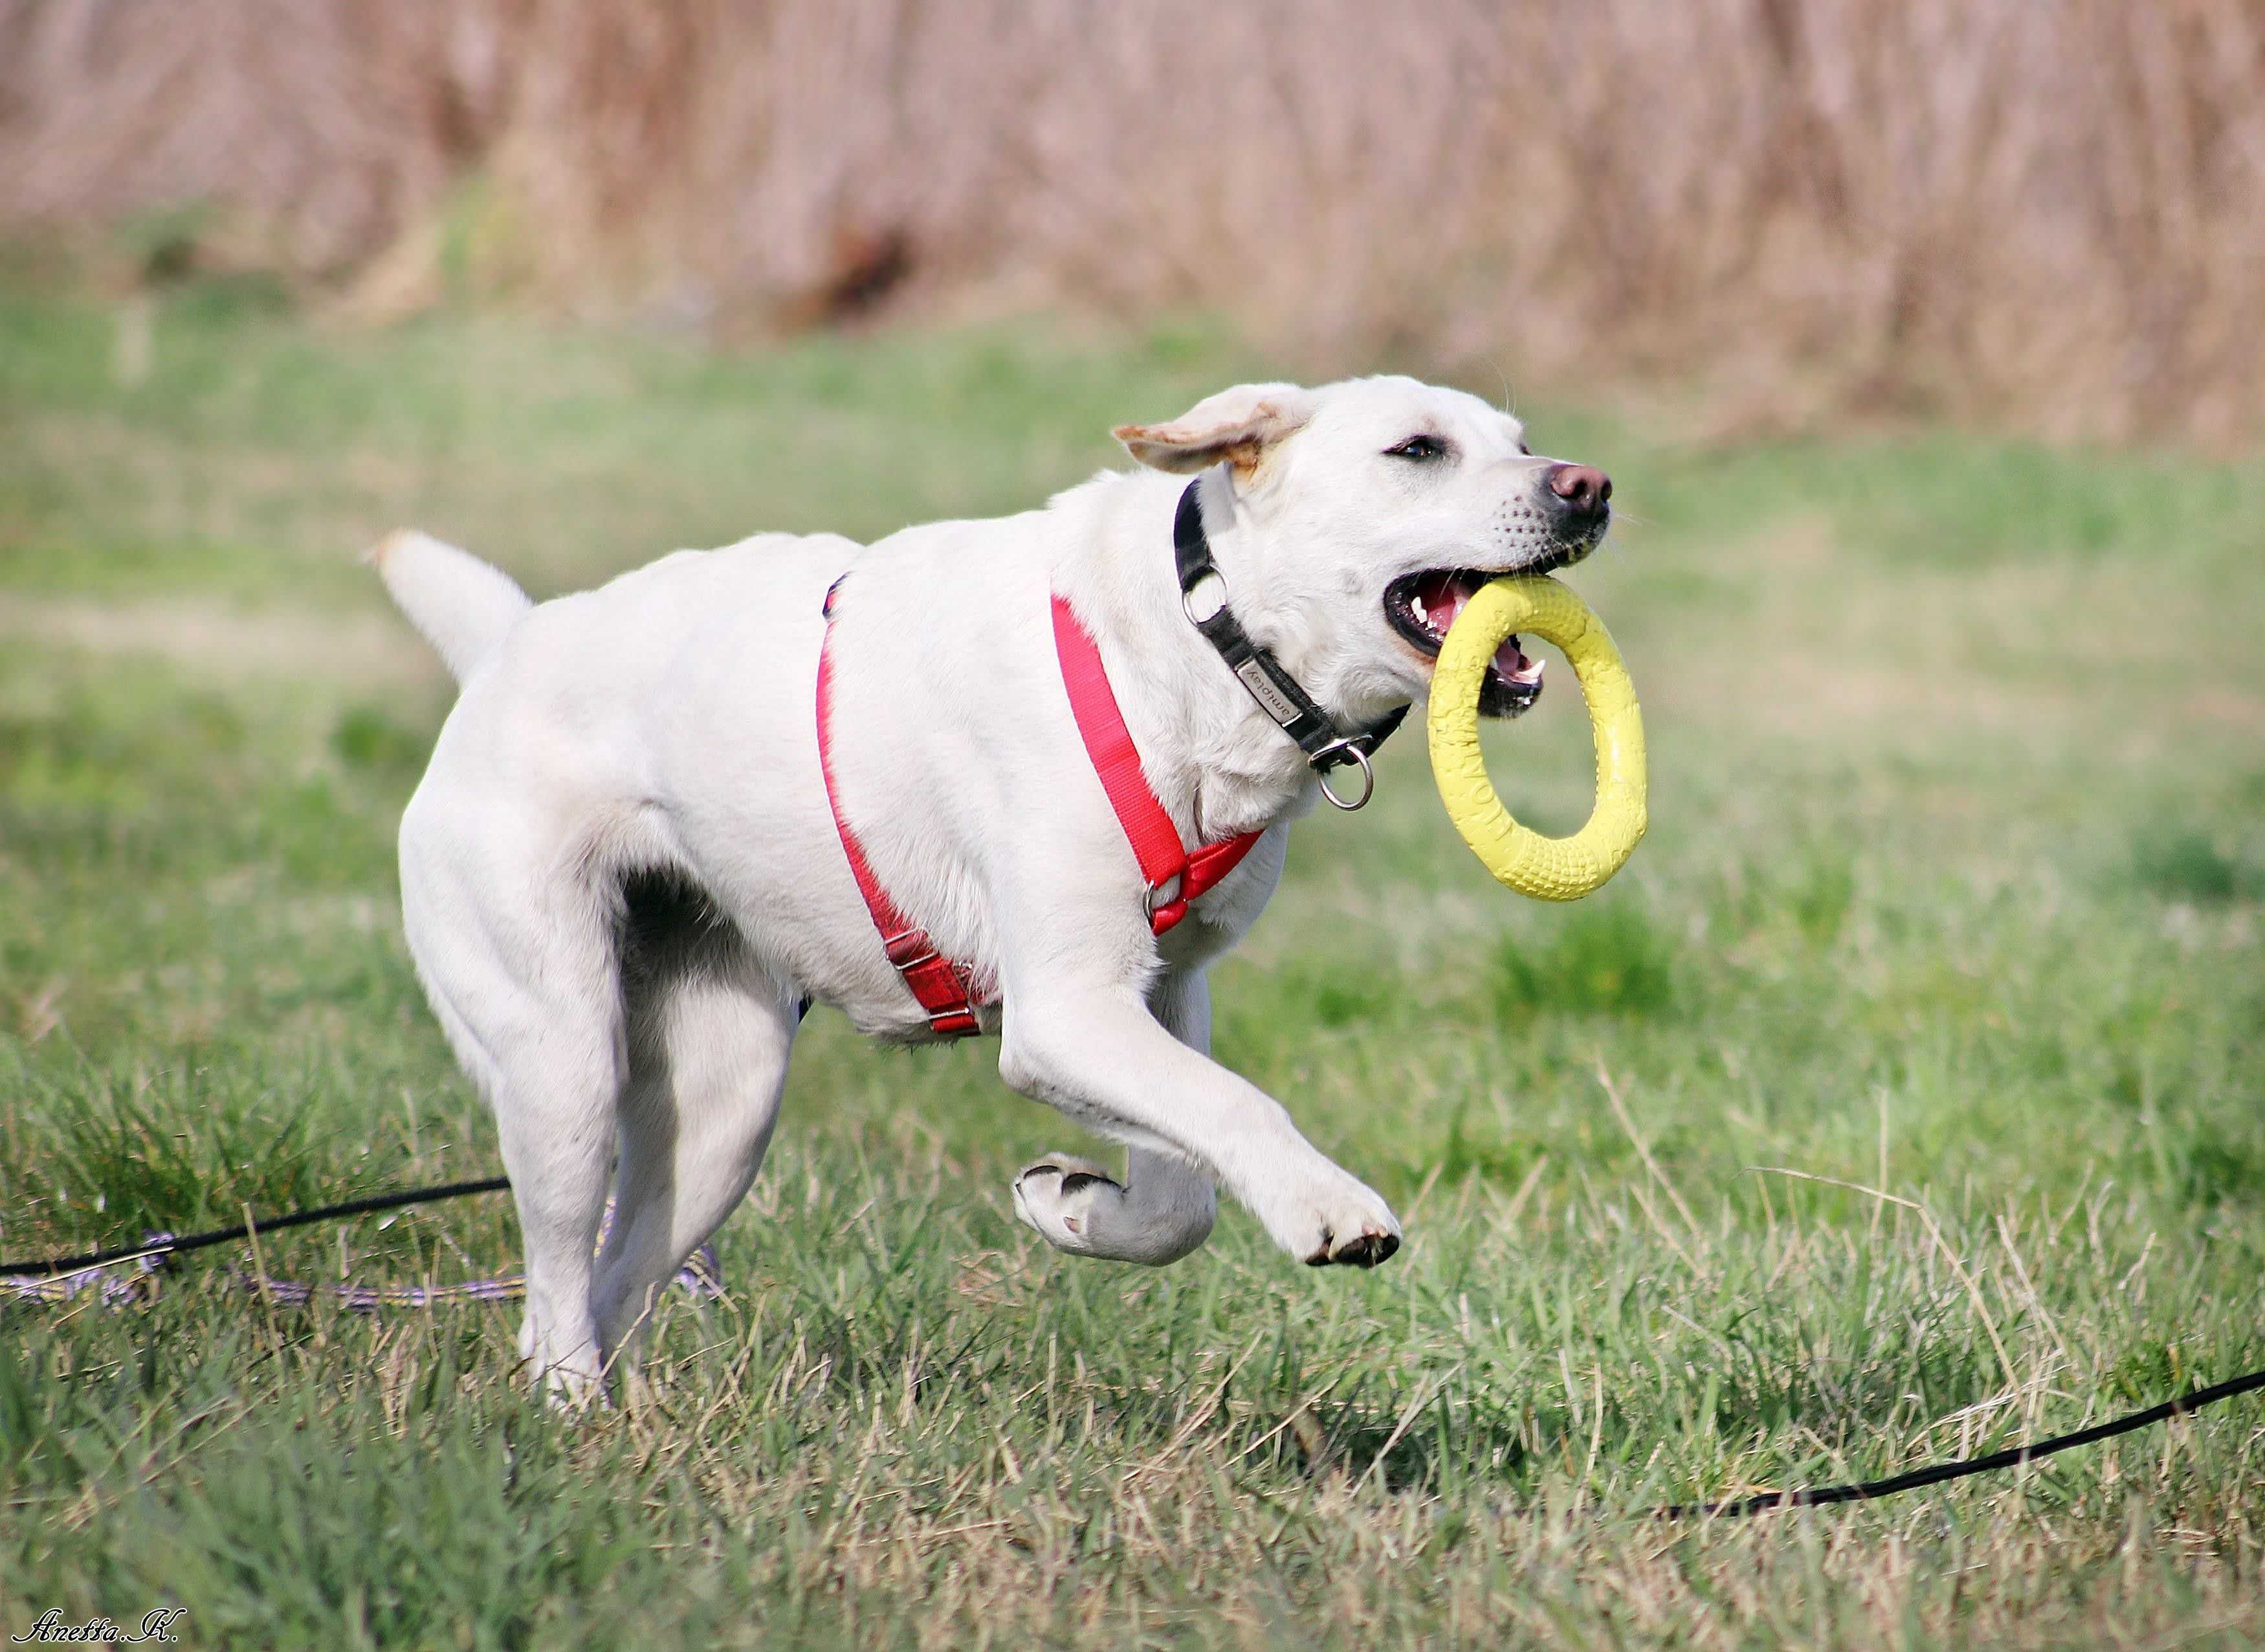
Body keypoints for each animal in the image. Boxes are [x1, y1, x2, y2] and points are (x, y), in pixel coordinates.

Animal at [371, 373, 1613, 1396]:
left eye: (1521, 441)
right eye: (1418, 449)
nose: (1589, 486)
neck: (1198, 639)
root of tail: (506, 647)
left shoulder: (1165, 991)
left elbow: (1185, 1195)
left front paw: (1072, 1205)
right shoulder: (1064, 1011)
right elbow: (1238, 1107)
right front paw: (1330, 1208)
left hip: (724, 1101)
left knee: (617, 1275)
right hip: (564, 1061)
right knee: (555, 1290)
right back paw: (571, 1414)